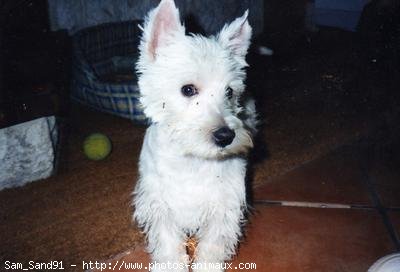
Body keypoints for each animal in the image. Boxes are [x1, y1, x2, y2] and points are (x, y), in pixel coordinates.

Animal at [134, 1, 256, 270]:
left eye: (229, 91)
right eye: (188, 89)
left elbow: (213, 244)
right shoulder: (159, 203)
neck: (193, 160)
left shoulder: (224, 204)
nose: (226, 136)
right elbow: (168, 242)